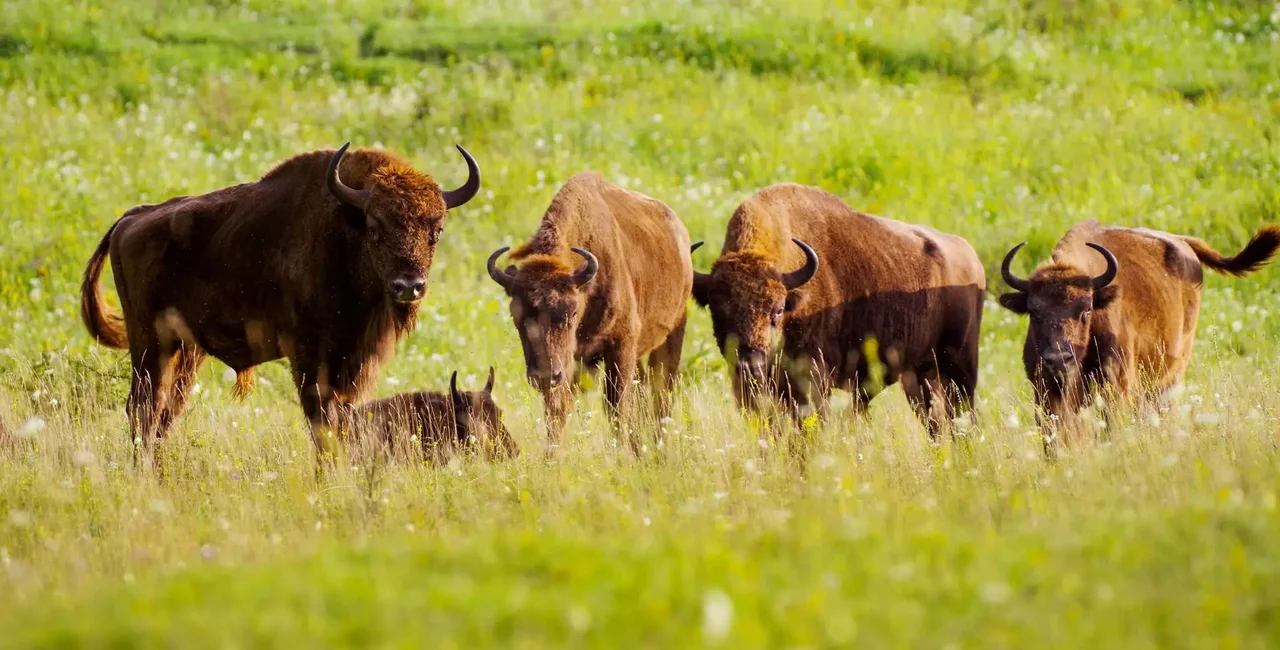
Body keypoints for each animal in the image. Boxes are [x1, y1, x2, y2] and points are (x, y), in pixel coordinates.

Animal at [81, 143, 480, 466]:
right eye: (375, 227)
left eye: (436, 230)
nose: (408, 286)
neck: (344, 232)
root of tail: (132, 218)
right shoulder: (309, 354)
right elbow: (321, 422)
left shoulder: (352, 362)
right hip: (150, 345)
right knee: (143, 410)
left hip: (186, 351)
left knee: (164, 413)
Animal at [486, 173, 692, 453]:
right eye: (516, 316)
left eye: (572, 313)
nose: (544, 376)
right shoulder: (568, 365)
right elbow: (557, 410)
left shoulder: (620, 347)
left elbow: (617, 407)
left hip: (672, 334)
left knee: (661, 395)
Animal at [691, 184, 986, 438]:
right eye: (717, 311)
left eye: (777, 310)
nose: (749, 364)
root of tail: (971, 257)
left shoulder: (812, 380)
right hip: (919, 376)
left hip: (961, 368)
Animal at [999, 220, 1280, 450]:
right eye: (1033, 311)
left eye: (1086, 309)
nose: (1058, 359)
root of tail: (1183, 242)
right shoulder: (1046, 393)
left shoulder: (1116, 389)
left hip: (1172, 374)